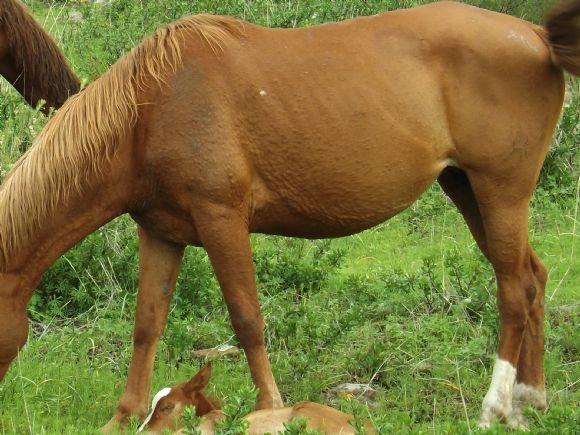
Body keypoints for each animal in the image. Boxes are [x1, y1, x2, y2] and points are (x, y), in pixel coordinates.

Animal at [0, 0, 576, 430]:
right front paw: (123, 417)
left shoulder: (222, 221)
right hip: (465, 189)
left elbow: (247, 319)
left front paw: (269, 408)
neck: (149, 112)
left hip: (500, 192)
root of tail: (536, 38)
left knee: (513, 289)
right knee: (533, 278)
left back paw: (495, 407)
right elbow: (147, 325)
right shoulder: (160, 233)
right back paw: (530, 402)